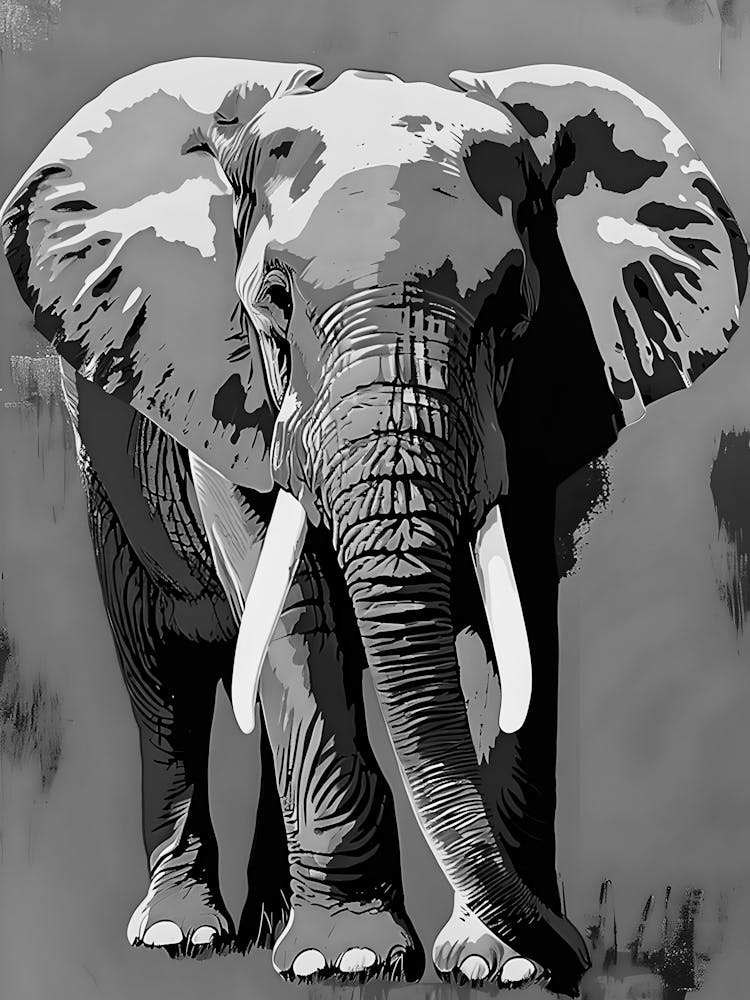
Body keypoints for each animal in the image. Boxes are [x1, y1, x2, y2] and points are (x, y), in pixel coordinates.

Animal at [2, 57, 747, 997]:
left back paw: (271, 923)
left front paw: (497, 966)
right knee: (163, 678)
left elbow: (513, 624)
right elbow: (292, 611)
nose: (577, 953)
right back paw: (186, 935)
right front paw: (347, 960)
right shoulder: (224, 395)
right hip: (107, 471)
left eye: (513, 307)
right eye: (273, 299)